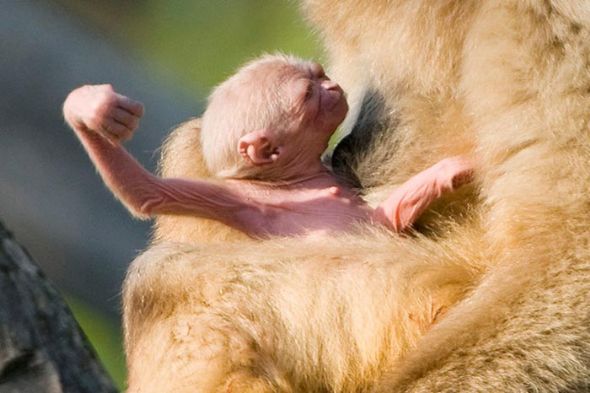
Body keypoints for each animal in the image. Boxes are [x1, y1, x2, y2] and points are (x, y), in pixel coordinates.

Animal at [62, 54, 474, 237]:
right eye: (308, 94)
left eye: (319, 74)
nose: (331, 87)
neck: (296, 182)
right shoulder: (244, 202)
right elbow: (146, 194)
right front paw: (90, 106)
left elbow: (386, 217)